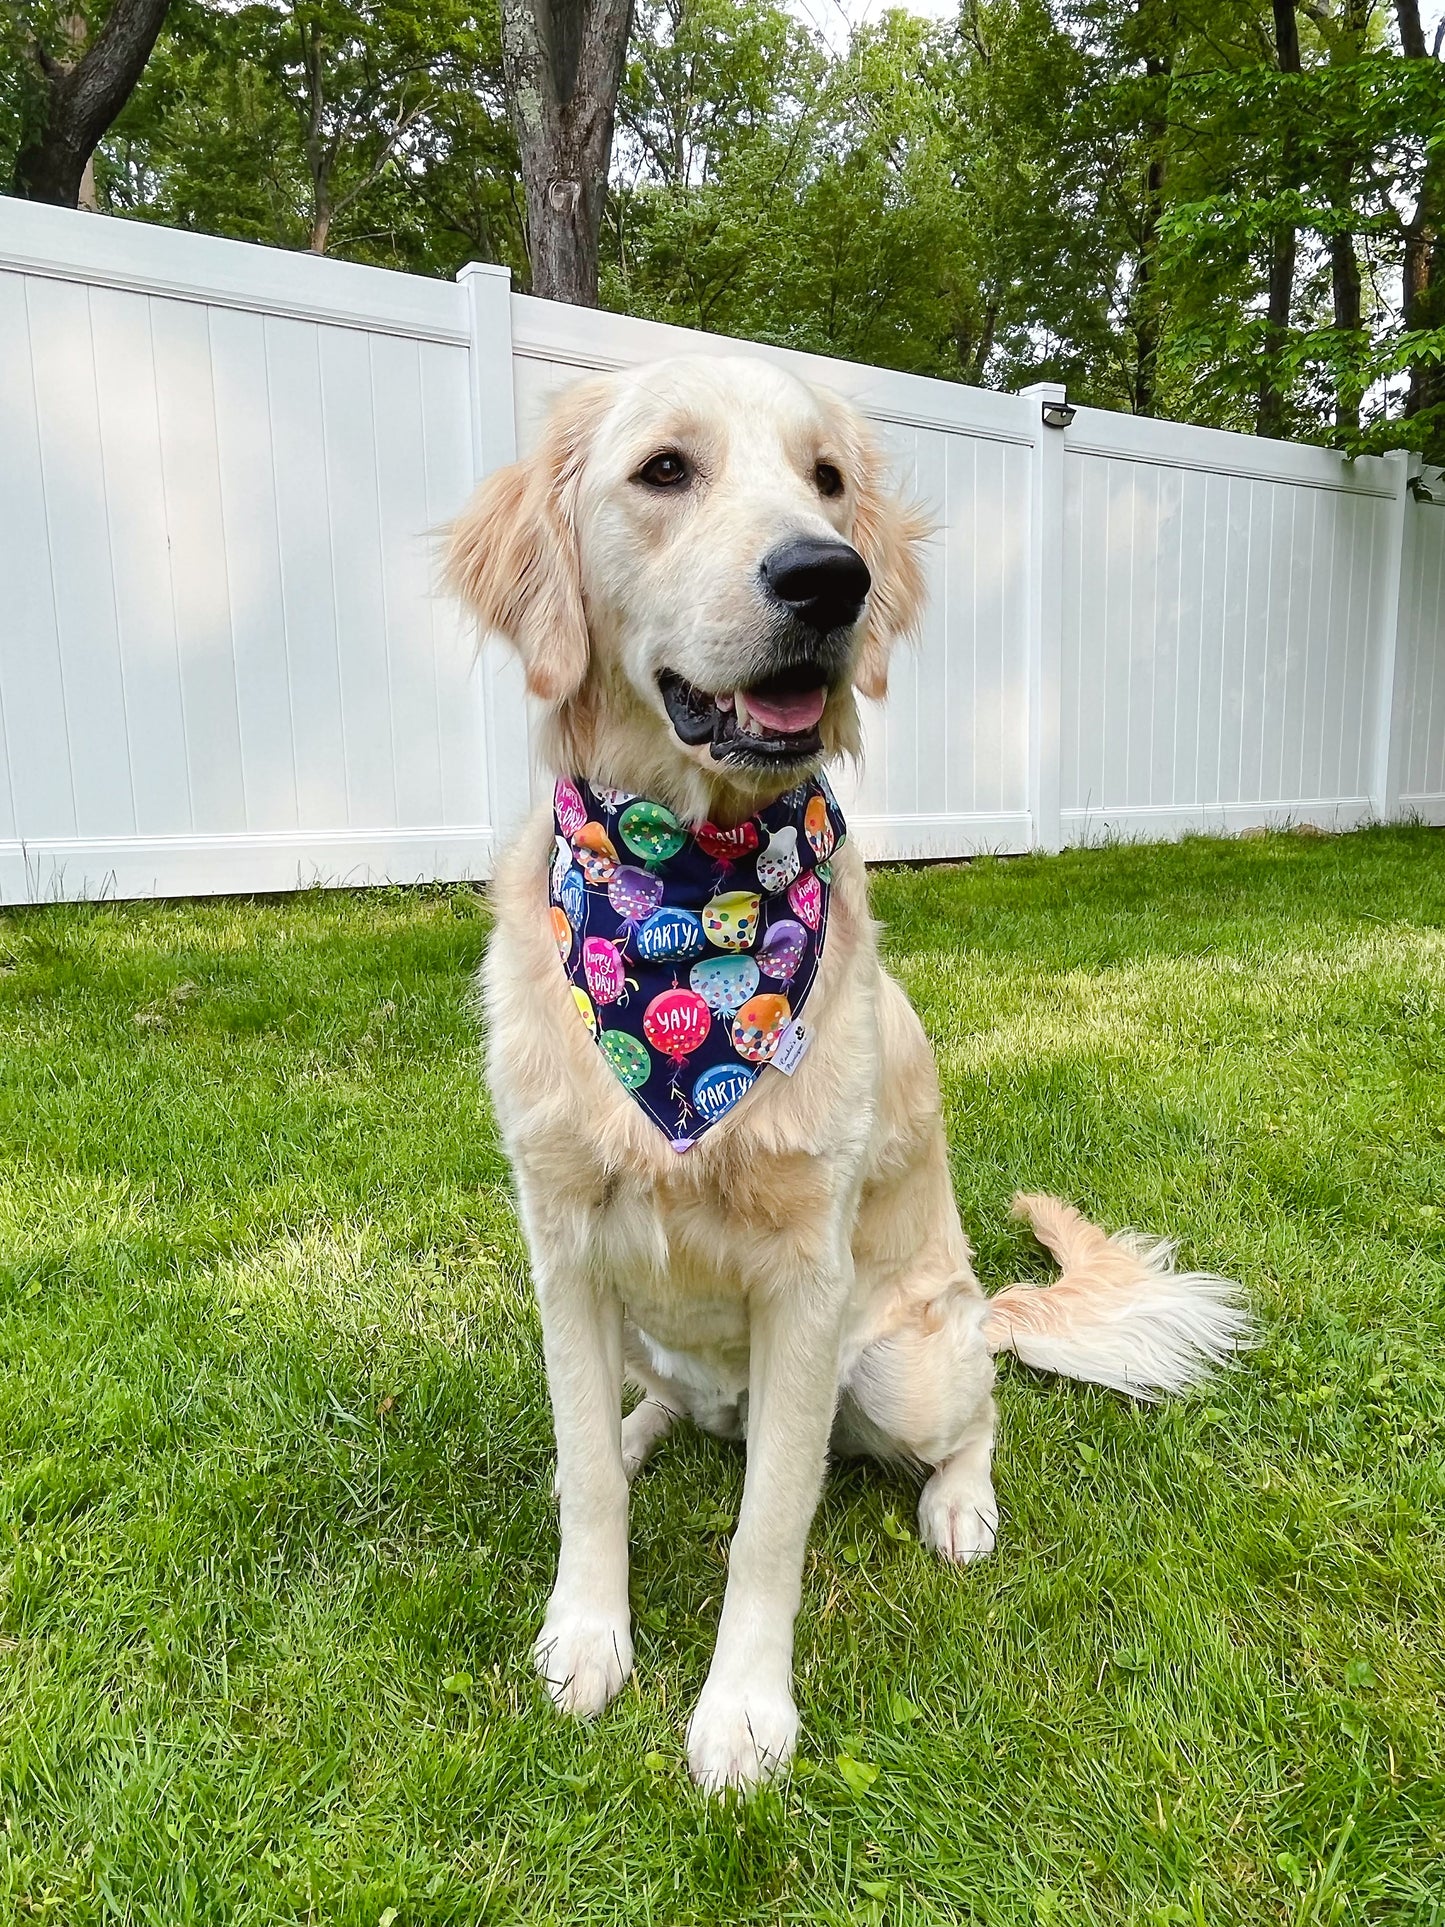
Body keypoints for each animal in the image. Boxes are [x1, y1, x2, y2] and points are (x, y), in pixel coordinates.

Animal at [446, 358, 1248, 1788]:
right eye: (664, 470)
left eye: (826, 480)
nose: (830, 579)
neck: (687, 884)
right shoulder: (562, 1243)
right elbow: (586, 1473)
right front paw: (586, 1633)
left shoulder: (805, 1276)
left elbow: (769, 1521)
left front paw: (743, 1710)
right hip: (644, 1326)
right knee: (650, 1416)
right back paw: (647, 1432)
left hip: (903, 1358)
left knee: (970, 1416)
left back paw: (962, 1503)